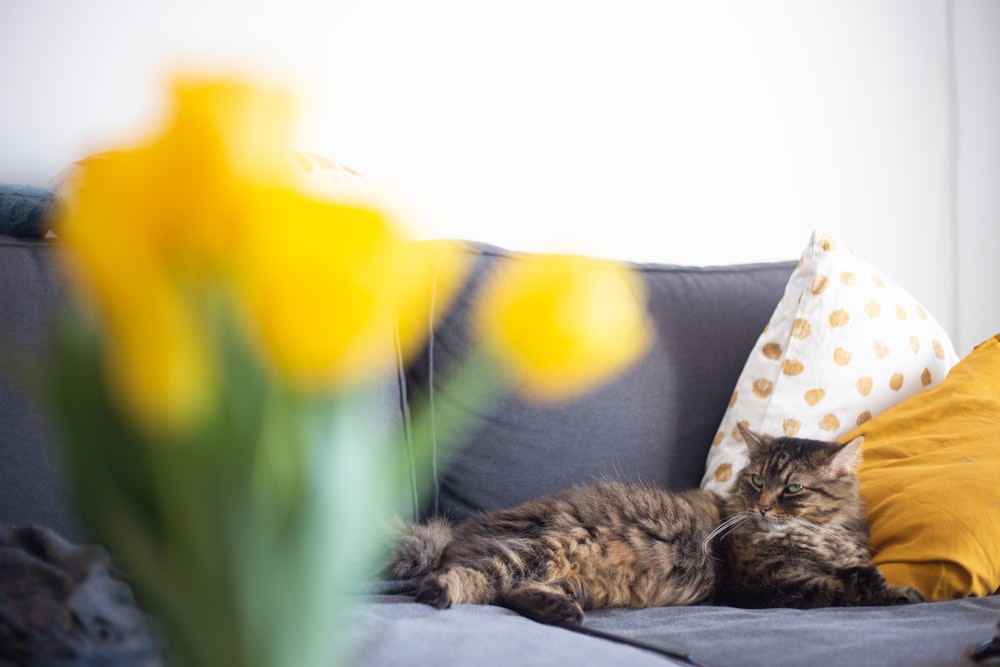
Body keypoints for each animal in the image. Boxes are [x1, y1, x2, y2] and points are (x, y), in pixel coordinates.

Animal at [390, 428, 920, 628]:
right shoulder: (763, 585)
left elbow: (863, 577)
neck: (821, 535)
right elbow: (836, 588)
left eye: (791, 489)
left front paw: (894, 587)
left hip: (574, 578)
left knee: (516, 593)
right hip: (541, 547)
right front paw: (885, 590)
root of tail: (460, 532)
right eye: (756, 481)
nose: (764, 507)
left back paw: (562, 612)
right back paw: (439, 590)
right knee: (467, 580)